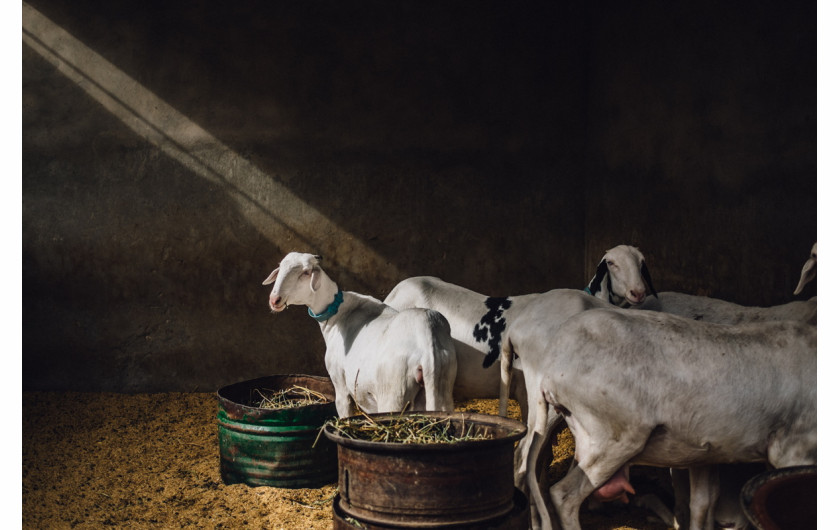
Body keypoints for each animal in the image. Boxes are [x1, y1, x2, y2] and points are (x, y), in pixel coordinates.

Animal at [264, 252, 456, 416]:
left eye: (305, 273)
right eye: (280, 268)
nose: (274, 300)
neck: (337, 313)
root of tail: (426, 342)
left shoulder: (339, 381)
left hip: (394, 391)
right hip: (441, 386)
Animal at [524, 308, 812, 528]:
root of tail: (552, 365)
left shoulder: (707, 453)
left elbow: (704, 502)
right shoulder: (792, 451)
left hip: (587, 435)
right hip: (615, 436)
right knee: (563, 496)